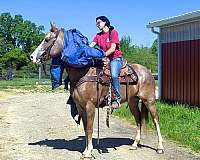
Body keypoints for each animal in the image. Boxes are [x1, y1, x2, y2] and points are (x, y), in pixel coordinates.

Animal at [30, 22, 164, 159]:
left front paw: (89, 153)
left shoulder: (90, 106)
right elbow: (85, 129)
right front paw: (85, 151)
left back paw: (160, 147)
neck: (84, 72)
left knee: (156, 120)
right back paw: (135, 144)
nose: (32, 57)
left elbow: (89, 129)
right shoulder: (80, 107)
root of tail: (147, 72)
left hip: (149, 100)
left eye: (47, 39)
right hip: (133, 101)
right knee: (138, 120)